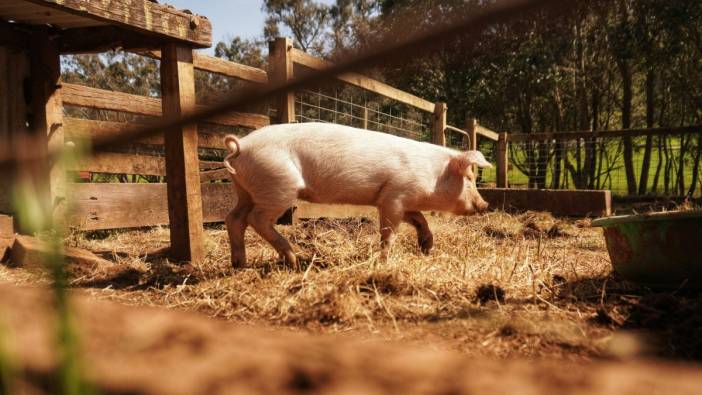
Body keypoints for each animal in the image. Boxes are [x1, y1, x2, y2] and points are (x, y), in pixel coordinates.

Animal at [223, 123, 492, 270]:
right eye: (469, 178)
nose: (485, 204)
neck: (432, 175)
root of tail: (241, 146)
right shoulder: (393, 197)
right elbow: (389, 232)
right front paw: (383, 261)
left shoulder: (399, 199)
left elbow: (419, 219)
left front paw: (427, 247)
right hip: (278, 186)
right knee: (257, 219)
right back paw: (293, 260)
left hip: (245, 190)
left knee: (234, 218)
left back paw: (240, 264)